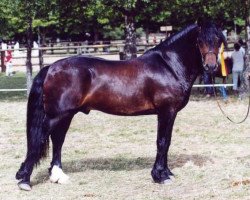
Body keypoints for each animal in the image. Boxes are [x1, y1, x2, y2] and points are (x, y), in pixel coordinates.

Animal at [16, 20, 227, 191]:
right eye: (200, 41)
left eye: (219, 40)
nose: (210, 67)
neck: (169, 66)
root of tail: (51, 67)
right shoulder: (166, 112)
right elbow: (162, 142)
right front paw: (160, 176)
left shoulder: (170, 113)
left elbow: (167, 142)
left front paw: (166, 172)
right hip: (56, 115)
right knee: (38, 140)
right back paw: (24, 180)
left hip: (65, 115)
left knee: (57, 140)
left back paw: (58, 176)